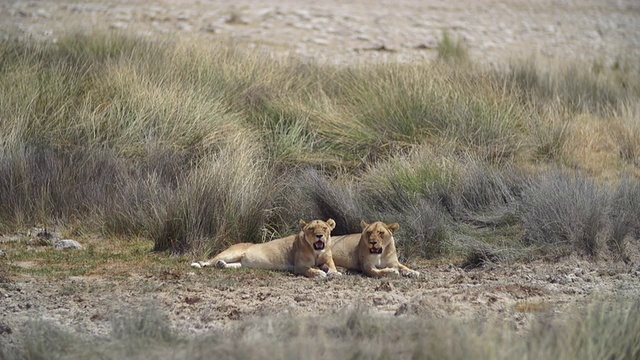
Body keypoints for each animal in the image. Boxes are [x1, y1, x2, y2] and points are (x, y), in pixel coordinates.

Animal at [190, 219, 340, 278]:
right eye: (311, 229)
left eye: (324, 228)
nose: (319, 236)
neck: (316, 252)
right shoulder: (299, 266)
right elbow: (309, 270)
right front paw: (319, 273)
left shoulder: (327, 259)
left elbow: (332, 266)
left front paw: (335, 273)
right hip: (231, 253)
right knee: (209, 261)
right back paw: (198, 264)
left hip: (241, 263)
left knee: (233, 265)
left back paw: (221, 265)